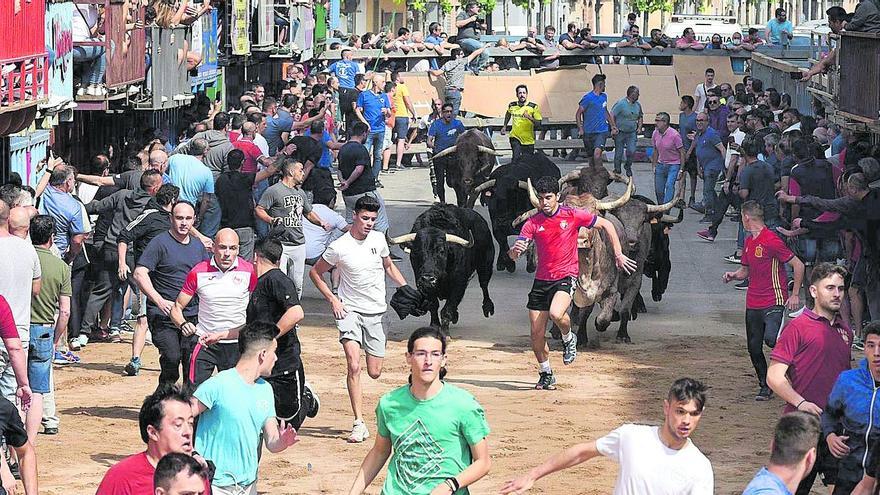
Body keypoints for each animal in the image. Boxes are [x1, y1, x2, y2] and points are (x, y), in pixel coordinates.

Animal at [386, 205, 496, 334]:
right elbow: (434, 305)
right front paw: (434, 325)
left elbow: (447, 308)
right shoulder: (424, 284)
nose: (428, 279)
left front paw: (445, 332)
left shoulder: (459, 284)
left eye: (442, 251)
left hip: (485, 264)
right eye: (416, 251)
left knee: (484, 284)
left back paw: (487, 307)